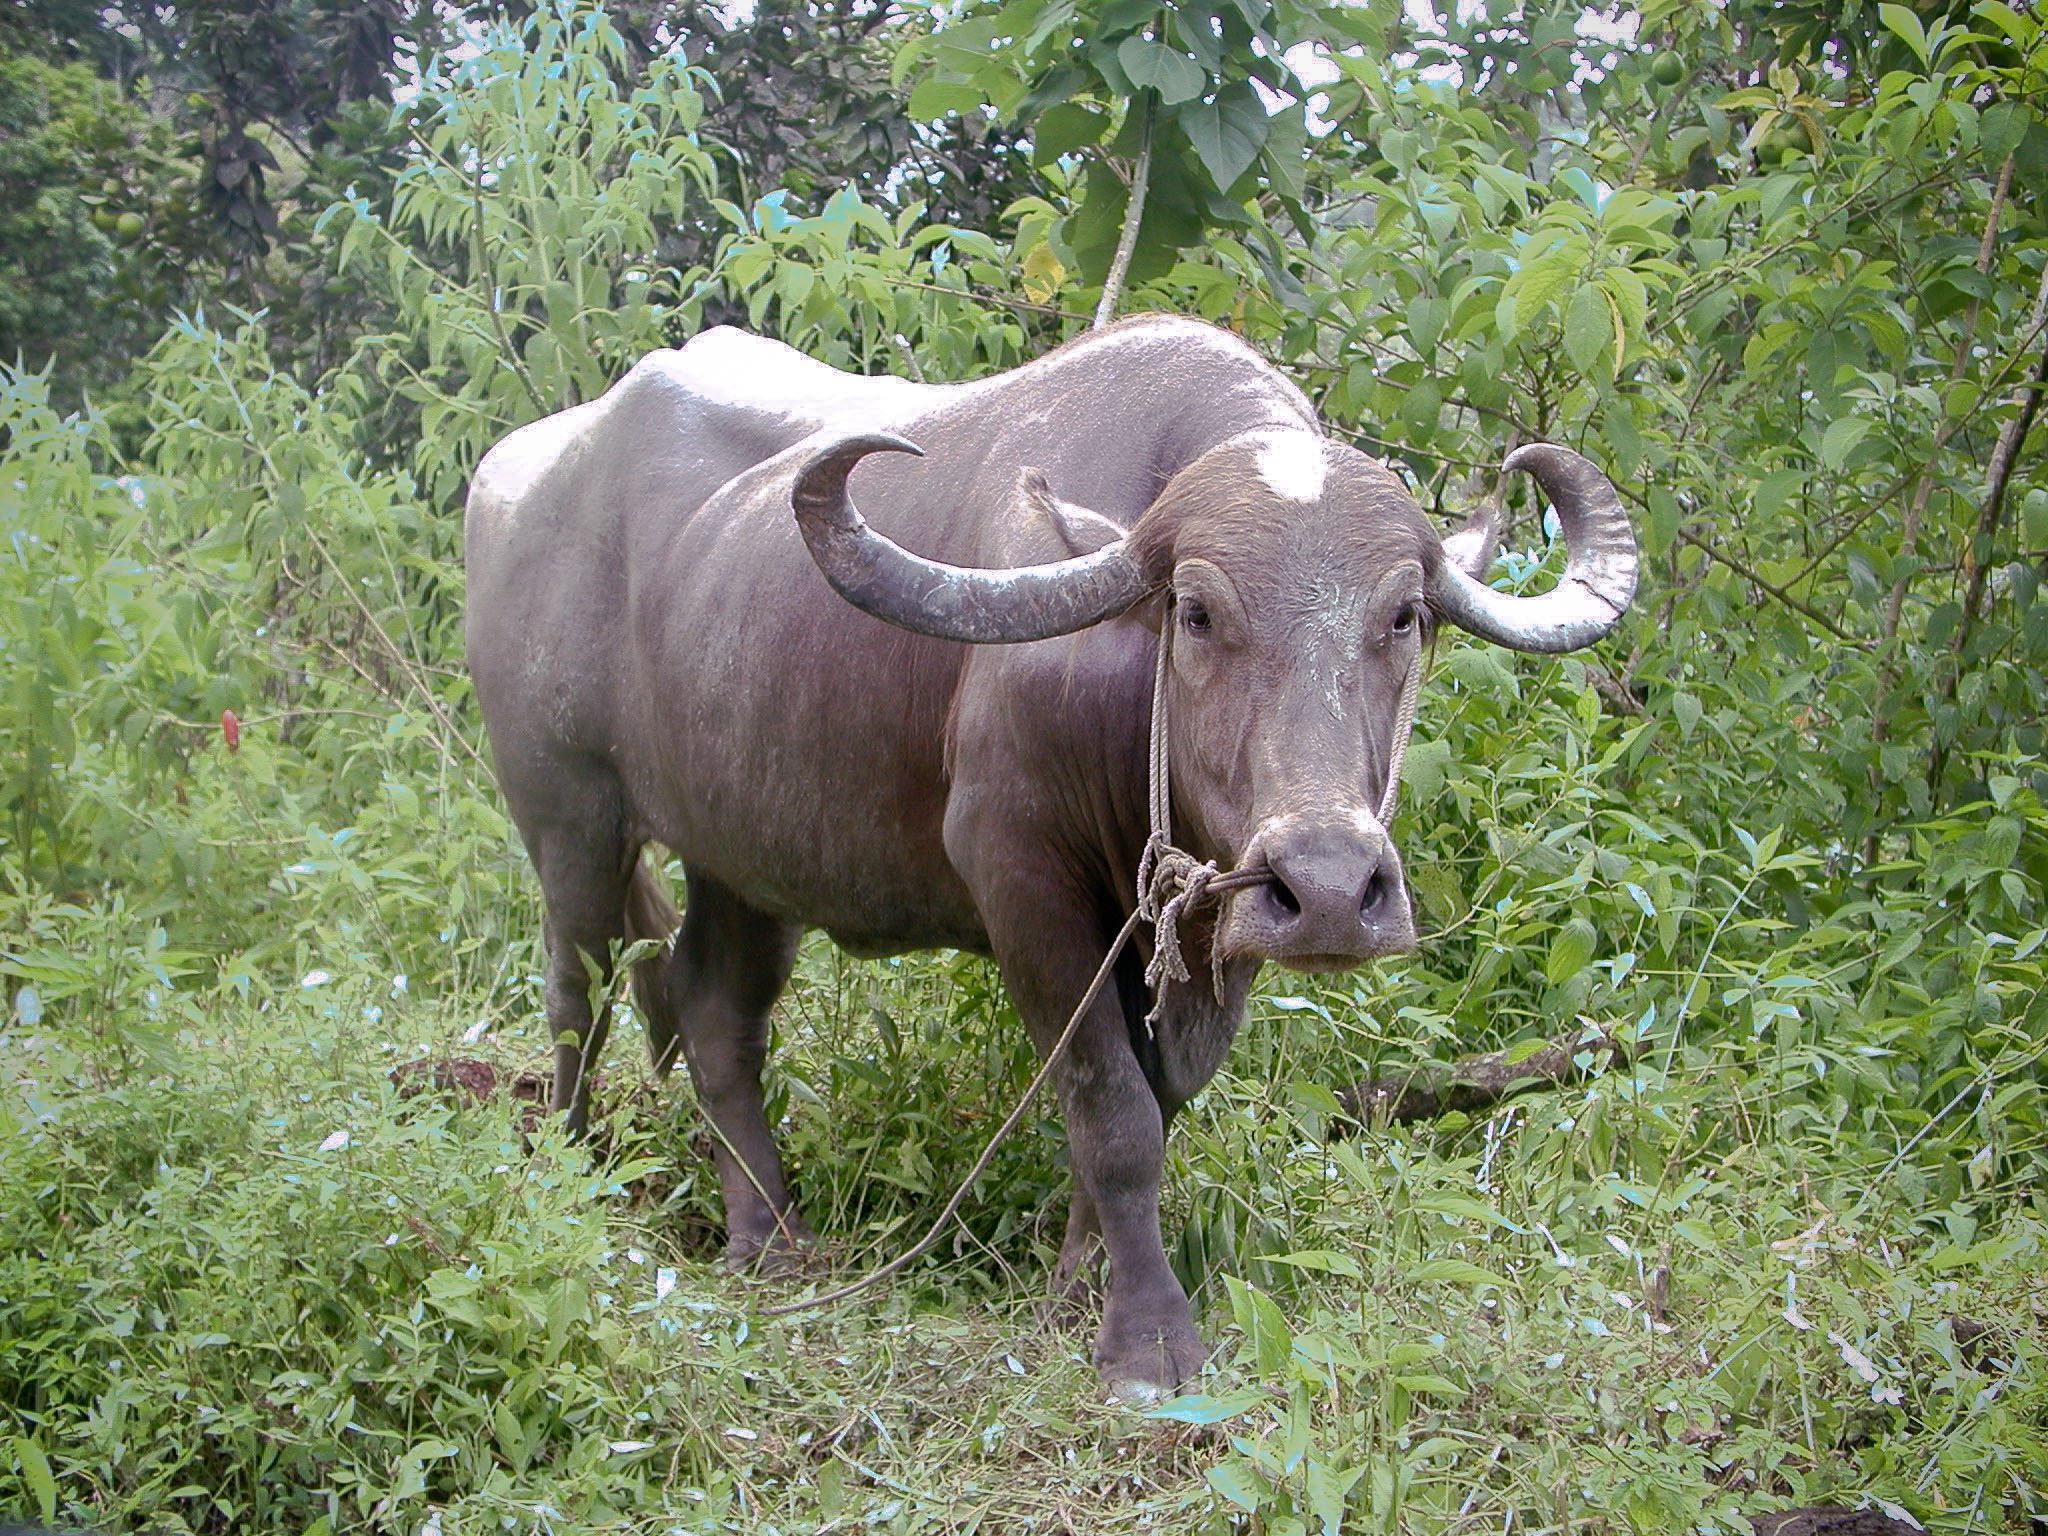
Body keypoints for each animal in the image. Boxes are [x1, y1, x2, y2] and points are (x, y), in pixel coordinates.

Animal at [464, 319, 1630, 1400]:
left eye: (1403, 615)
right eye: (1196, 611)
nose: (1333, 890)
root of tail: (516, 473)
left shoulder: (1203, 925)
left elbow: (1152, 1101)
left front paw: (1076, 1289)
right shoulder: (1019, 880)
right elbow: (1110, 1110)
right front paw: (1146, 1339)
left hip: (745, 853)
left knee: (713, 1012)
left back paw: (770, 1236)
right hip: (568, 814)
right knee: (577, 991)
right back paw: (573, 1168)